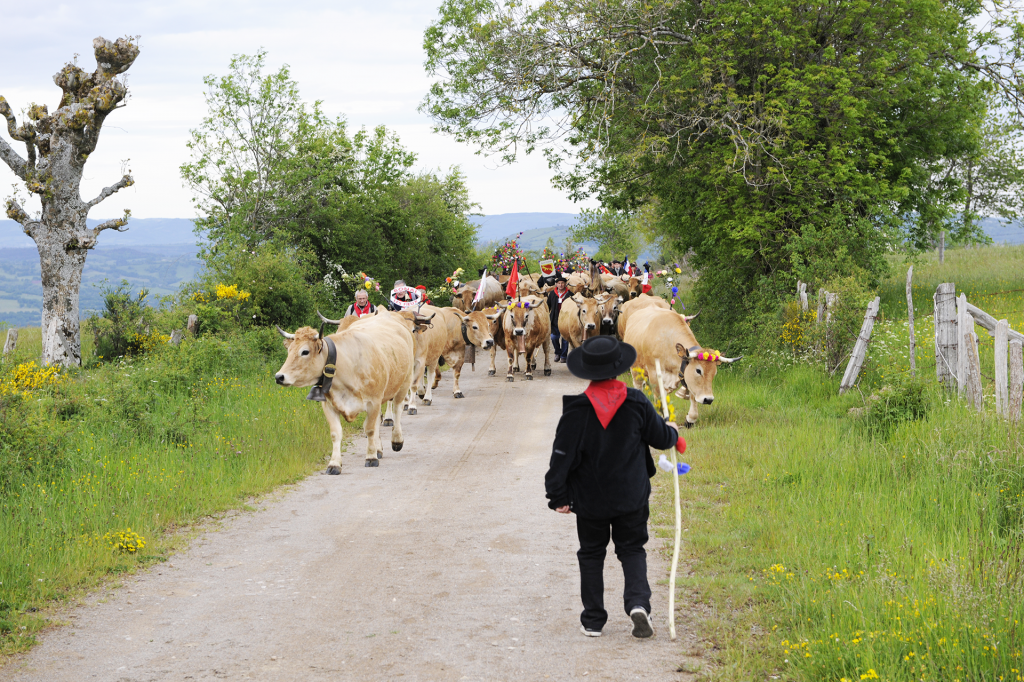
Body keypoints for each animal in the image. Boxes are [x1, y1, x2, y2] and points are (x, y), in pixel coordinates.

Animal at [272, 311, 423, 466]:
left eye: (305, 351)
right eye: (289, 350)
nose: (279, 376)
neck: (345, 366)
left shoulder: (373, 401)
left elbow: (369, 429)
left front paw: (371, 457)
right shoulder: (329, 405)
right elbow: (336, 433)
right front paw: (334, 464)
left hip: (404, 382)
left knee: (397, 409)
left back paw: (397, 440)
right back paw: (378, 449)